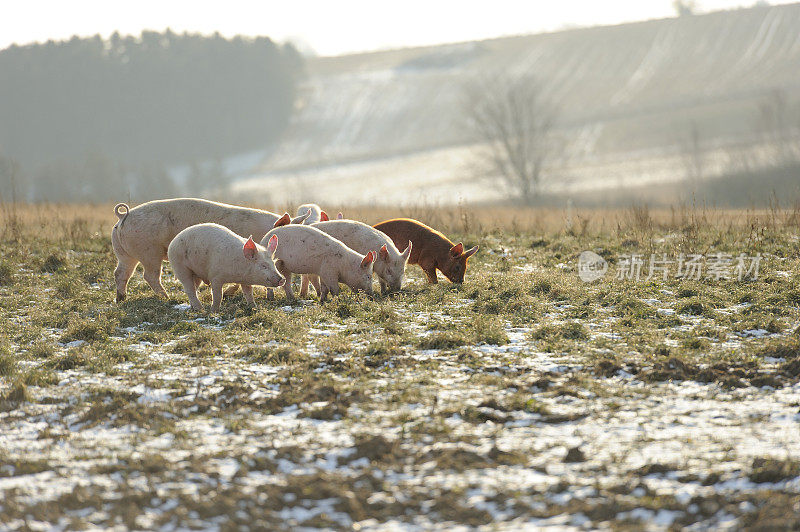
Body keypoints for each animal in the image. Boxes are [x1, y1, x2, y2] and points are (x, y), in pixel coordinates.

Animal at [112, 197, 310, 302]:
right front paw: (229, 293)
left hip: (125, 254)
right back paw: (166, 298)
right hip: (149, 252)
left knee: (120, 273)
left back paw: (121, 298)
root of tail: (123, 217)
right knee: (150, 275)